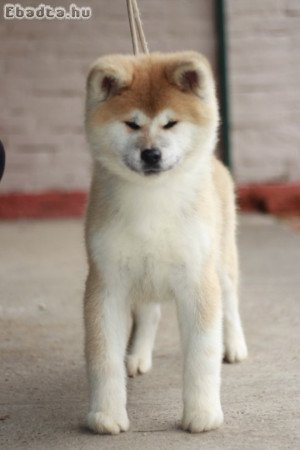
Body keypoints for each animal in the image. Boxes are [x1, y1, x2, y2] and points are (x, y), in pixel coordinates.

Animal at [83, 51, 247, 434]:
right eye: (132, 124)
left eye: (171, 123)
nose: (151, 154)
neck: (153, 200)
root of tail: (216, 161)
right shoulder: (106, 282)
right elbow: (103, 357)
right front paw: (106, 415)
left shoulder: (198, 279)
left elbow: (202, 354)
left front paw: (202, 414)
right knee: (150, 314)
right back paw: (138, 356)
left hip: (221, 260)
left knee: (231, 301)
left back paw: (234, 345)